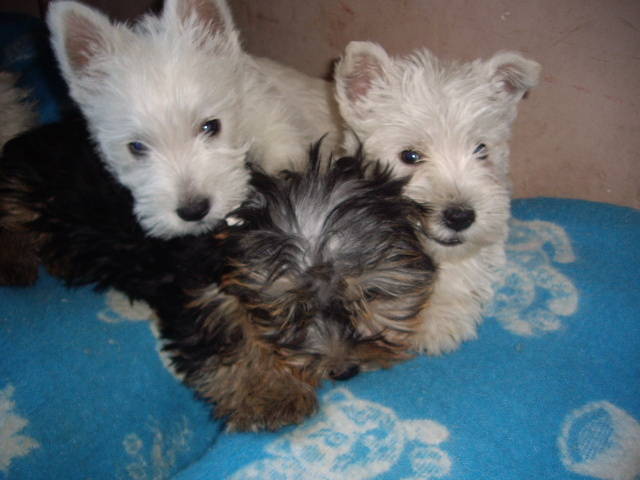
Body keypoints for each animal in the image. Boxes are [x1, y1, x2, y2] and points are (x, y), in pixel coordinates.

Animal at [0, 119, 438, 432]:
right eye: (290, 313)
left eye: (367, 297)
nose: (343, 370)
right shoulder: (201, 289)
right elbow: (227, 335)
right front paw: (270, 395)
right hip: (36, 180)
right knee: (13, 207)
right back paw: (16, 261)